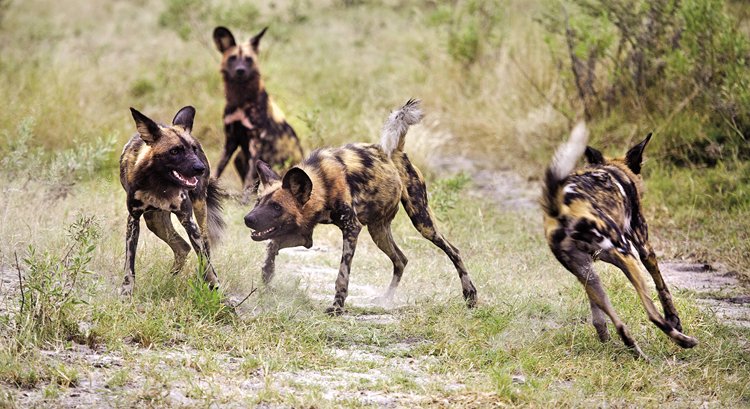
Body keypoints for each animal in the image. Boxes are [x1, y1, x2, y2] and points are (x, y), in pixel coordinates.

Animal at [119, 106, 226, 294]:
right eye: (174, 151)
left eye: (193, 149)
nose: (200, 168)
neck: (159, 183)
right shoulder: (133, 220)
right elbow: (129, 263)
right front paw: (127, 291)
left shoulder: (188, 220)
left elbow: (205, 261)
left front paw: (215, 287)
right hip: (154, 222)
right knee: (183, 247)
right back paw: (167, 280)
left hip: (199, 213)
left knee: (203, 248)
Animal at [212, 26, 302, 193]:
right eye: (232, 58)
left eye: (249, 59)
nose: (240, 70)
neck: (240, 100)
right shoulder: (230, 141)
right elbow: (217, 170)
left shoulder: (256, 144)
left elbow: (249, 181)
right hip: (239, 157)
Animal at [247, 99, 482, 316]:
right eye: (258, 203)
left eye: (276, 207)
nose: (247, 219)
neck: (321, 183)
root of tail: (397, 151)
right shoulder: (304, 236)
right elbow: (272, 246)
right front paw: (267, 274)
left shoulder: (351, 228)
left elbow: (342, 275)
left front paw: (337, 307)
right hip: (378, 230)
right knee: (401, 260)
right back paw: (386, 299)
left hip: (422, 222)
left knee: (453, 251)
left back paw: (470, 295)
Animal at [540, 122, 700, 358]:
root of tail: (560, 207)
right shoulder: (644, 247)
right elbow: (662, 287)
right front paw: (674, 319)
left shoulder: (587, 271)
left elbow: (597, 316)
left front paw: (603, 336)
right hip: (627, 255)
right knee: (651, 313)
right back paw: (683, 341)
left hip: (590, 272)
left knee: (619, 324)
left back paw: (638, 353)